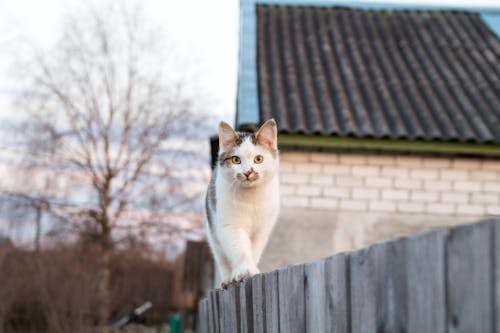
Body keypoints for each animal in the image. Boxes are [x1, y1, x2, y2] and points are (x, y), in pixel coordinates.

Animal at [205, 118, 280, 286]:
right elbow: (239, 248)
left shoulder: (262, 229)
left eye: (258, 159)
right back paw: (227, 278)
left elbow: (254, 249)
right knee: (222, 258)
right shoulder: (229, 226)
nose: (247, 172)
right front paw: (244, 270)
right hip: (213, 234)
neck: (250, 198)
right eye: (236, 160)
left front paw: (252, 269)